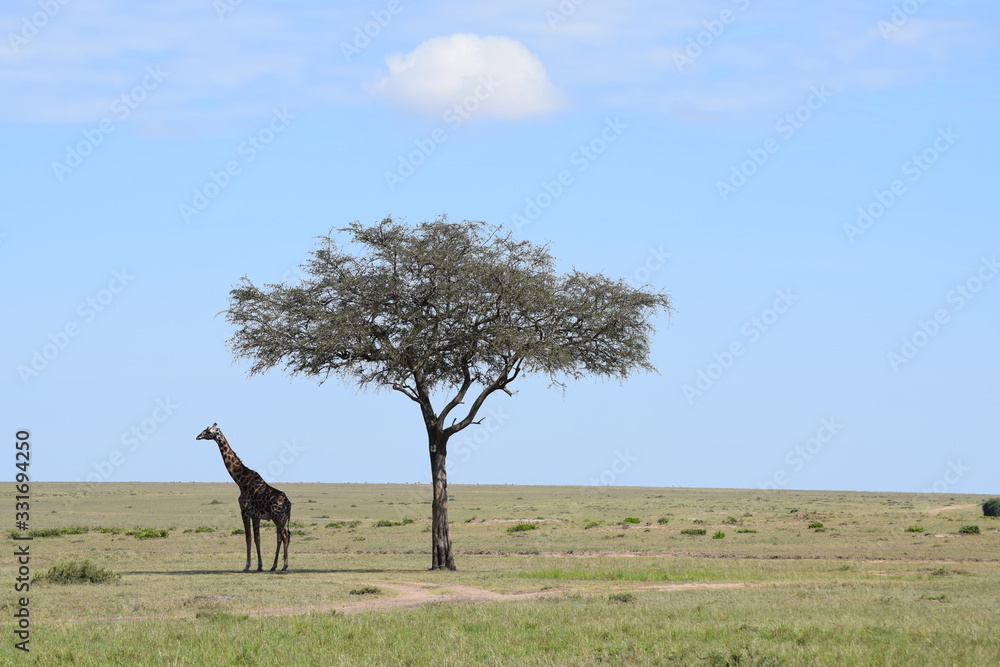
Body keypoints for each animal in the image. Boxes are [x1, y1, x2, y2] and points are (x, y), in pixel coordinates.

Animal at [195, 423, 291, 572]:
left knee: (284, 536)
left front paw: (247, 565)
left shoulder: (244, 512)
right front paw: (259, 566)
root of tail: (288, 503)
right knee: (283, 536)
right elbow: (257, 538)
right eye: (205, 429)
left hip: (278, 517)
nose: (198, 436)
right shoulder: (256, 516)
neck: (240, 481)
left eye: (209, 431)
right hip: (282, 519)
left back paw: (282, 566)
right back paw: (276, 565)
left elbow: (248, 538)